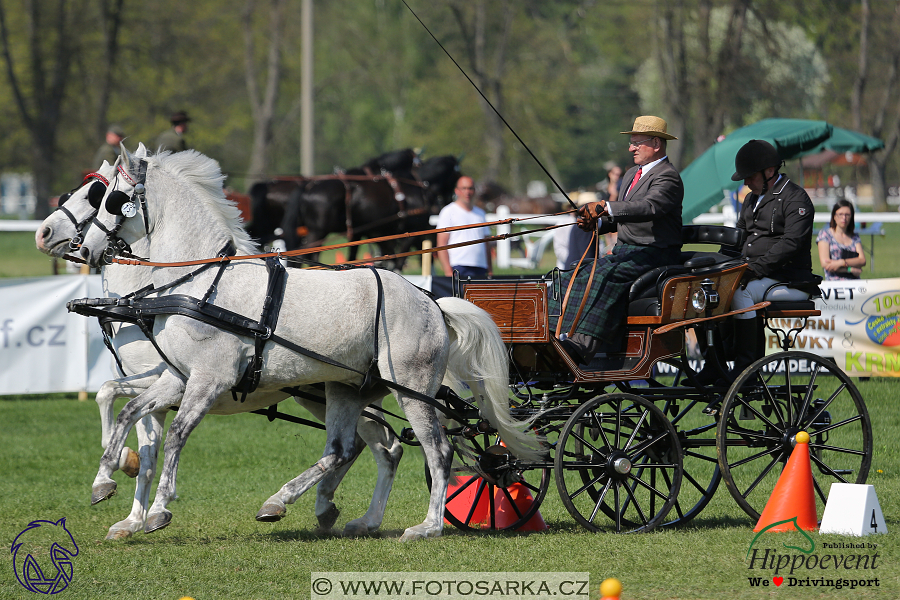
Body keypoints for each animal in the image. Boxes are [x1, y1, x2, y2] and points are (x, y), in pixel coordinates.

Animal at [75, 148, 540, 540]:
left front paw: (157, 509)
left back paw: (427, 526)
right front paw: (106, 480)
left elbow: (174, 436)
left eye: (111, 199)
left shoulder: (209, 379)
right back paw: (308, 507)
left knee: (437, 451)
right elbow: (128, 412)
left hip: (413, 390)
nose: (86, 248)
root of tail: (431, 301)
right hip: (346, 390)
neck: (201, 283)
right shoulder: (177, 377)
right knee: (349, 448)